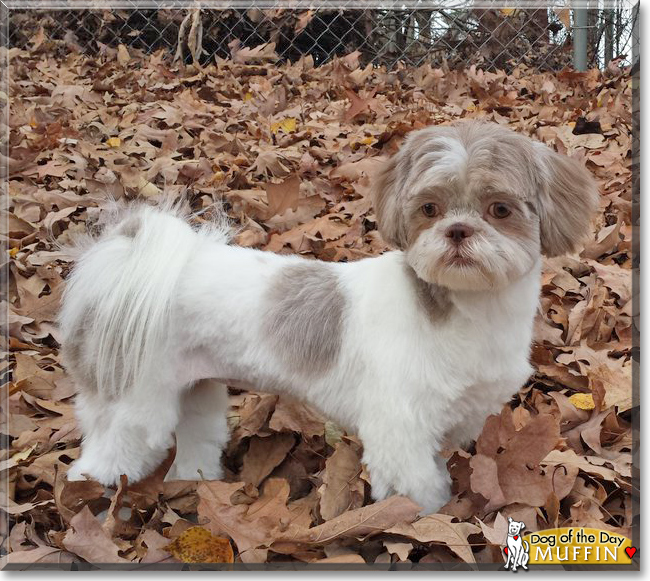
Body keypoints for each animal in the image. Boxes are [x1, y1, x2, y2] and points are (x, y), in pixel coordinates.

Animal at [60, 119, 596, 512]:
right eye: (429, 208)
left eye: (500, 209)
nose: (458, 231)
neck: (464, 310)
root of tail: (123, 265)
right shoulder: (399, 427)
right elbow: (418, 493)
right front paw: (425, 520)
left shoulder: (460, 414)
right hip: (133, 397)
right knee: (111, 447)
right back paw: (87, 489)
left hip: (194, 388)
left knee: (196, 434)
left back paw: (194, 481)